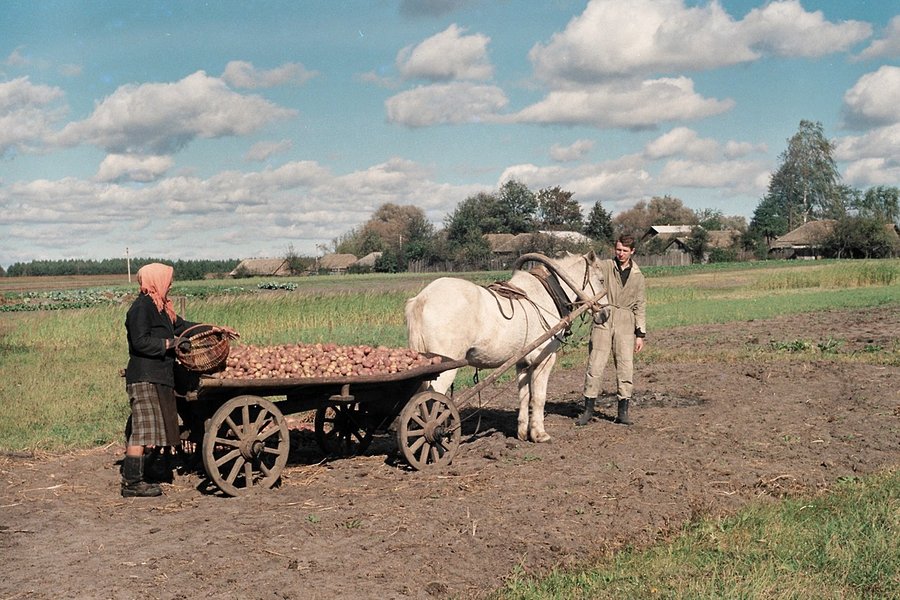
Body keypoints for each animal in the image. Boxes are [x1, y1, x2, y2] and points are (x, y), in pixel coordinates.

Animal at [406, 251, 604, 442]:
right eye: (602, 280)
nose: (605, 313)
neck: (545, 295)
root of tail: (421, 299)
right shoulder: (544, 358)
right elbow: (539, 398)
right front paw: (540, 434)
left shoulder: (523, 362)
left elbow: (524, 396)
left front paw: (523, 433)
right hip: (443, 370)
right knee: (431, 403)